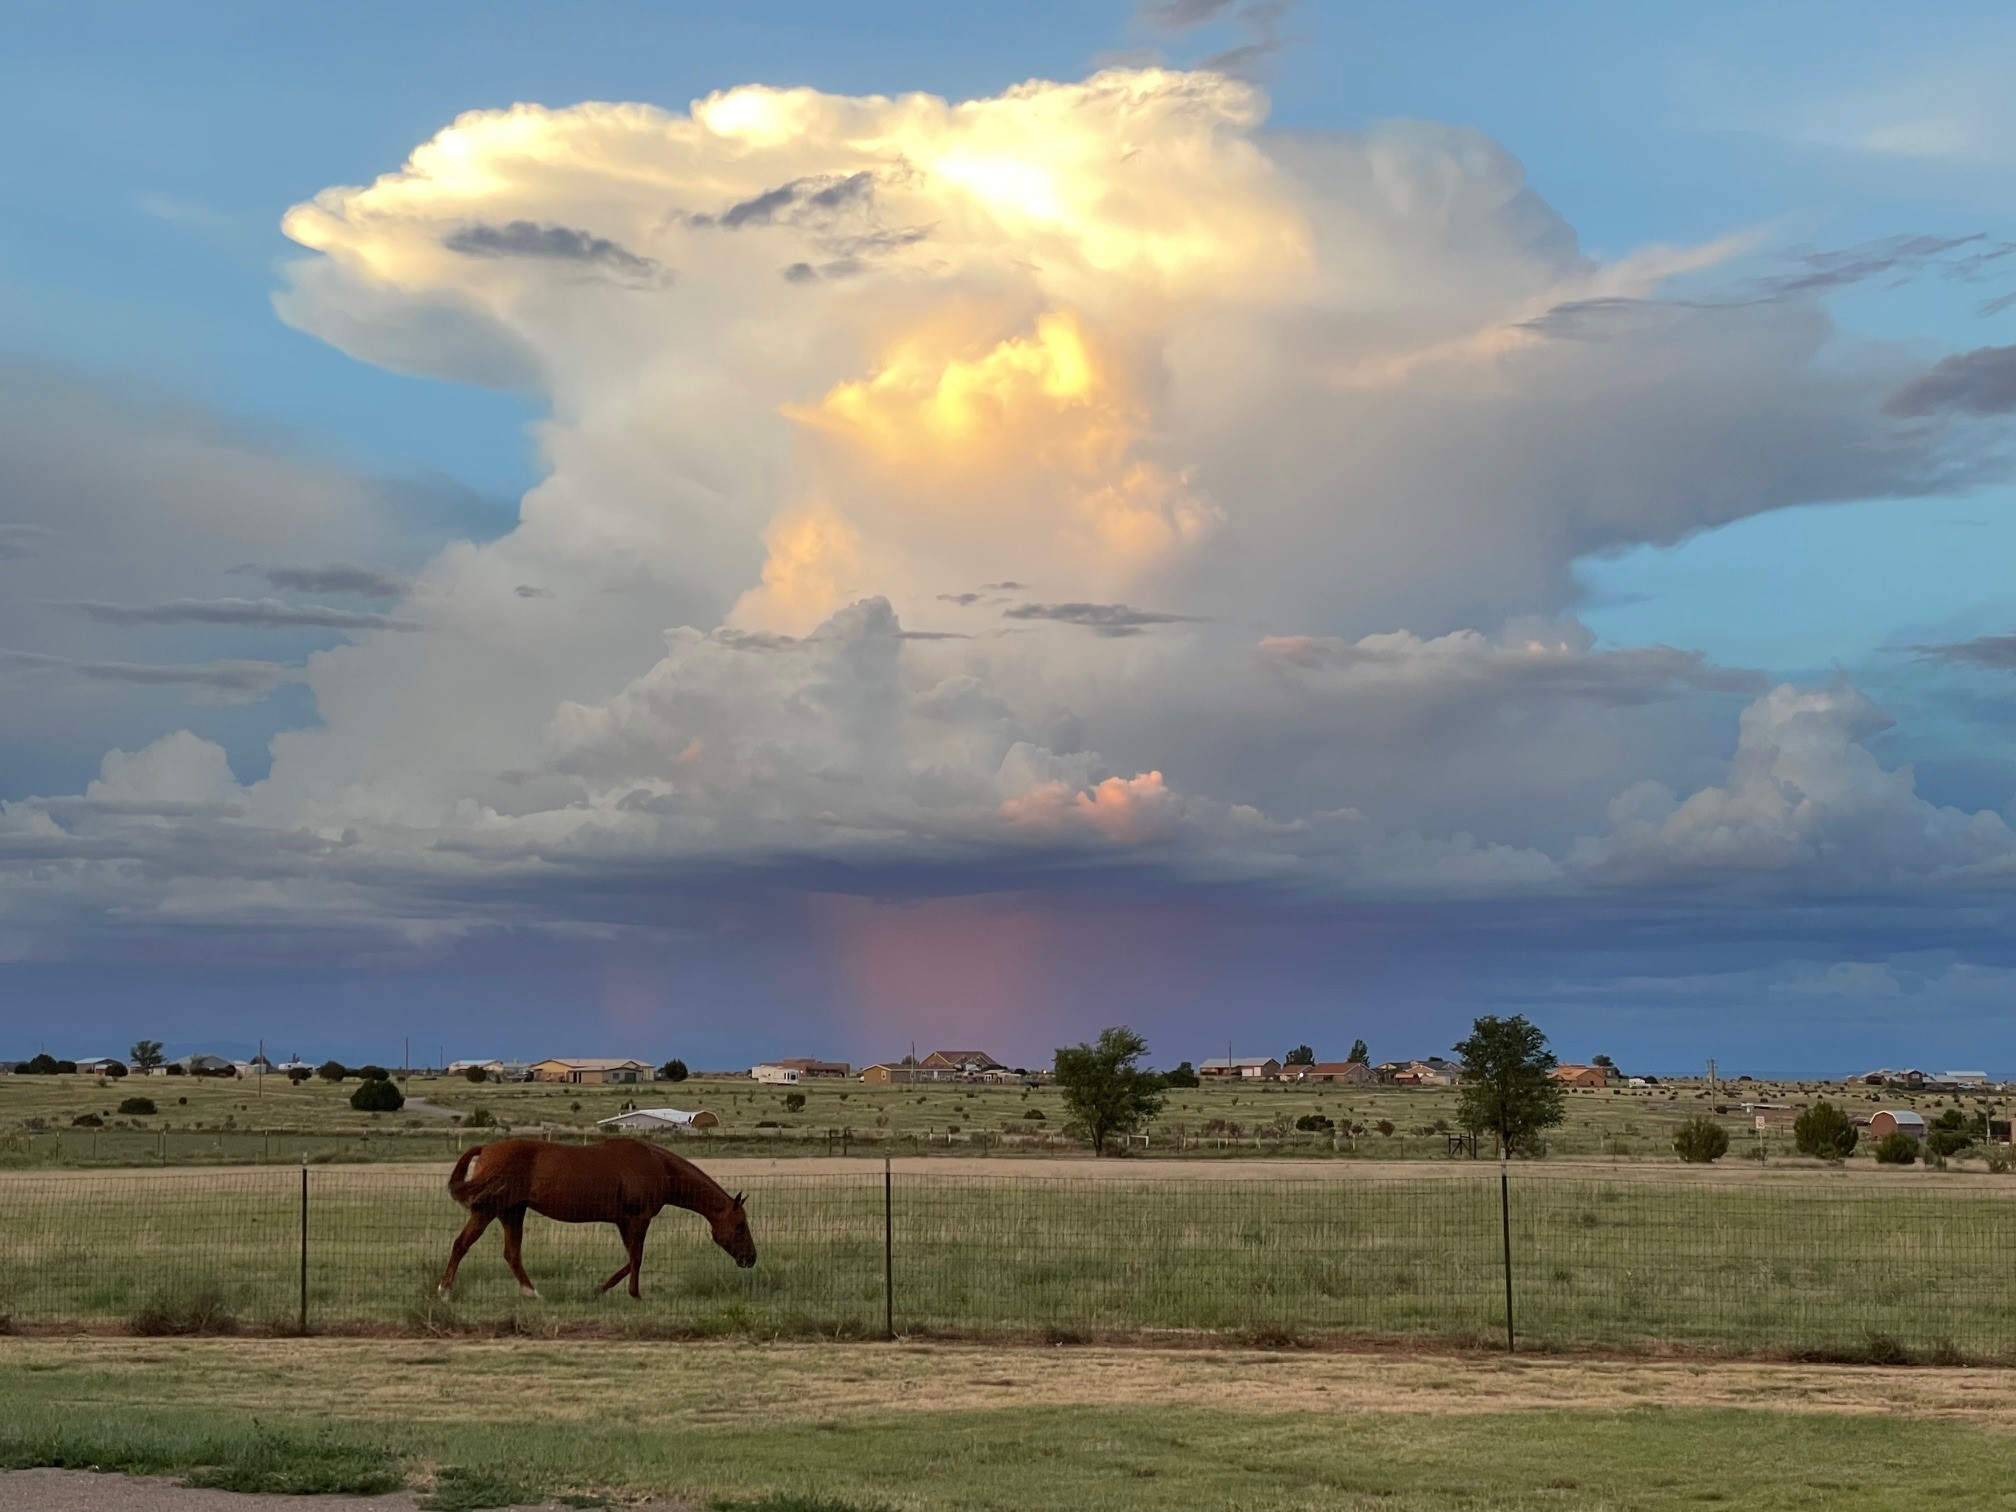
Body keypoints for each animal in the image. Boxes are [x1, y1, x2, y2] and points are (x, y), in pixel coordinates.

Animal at [437, 1136, 756, 1299]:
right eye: (740, 1226)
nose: (751, 1258)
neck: (659, 1166)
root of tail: (487, 1148)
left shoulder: (624, 1222)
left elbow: (630, 1259)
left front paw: (598, 1289)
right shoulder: (638, 1219)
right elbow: (637, 1258)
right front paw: (634, 1294)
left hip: (512, 1212)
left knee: (511, 1254)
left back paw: (533, 1293)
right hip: (488, 1211)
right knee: (461, 1244)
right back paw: (445, 1291)